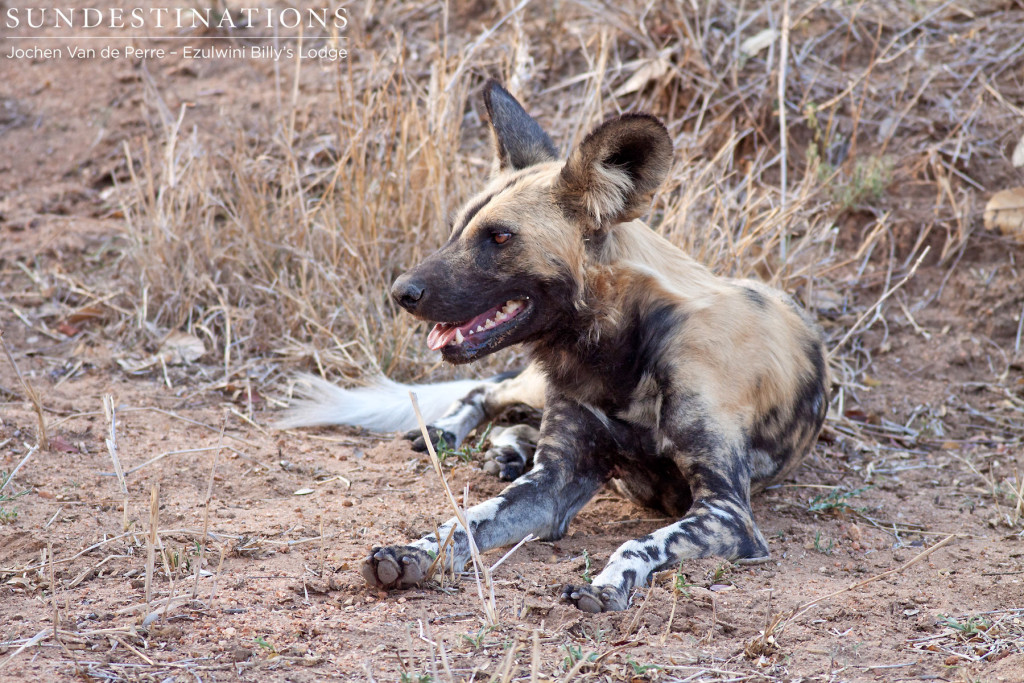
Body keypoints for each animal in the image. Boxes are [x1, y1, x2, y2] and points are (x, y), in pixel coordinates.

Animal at [284, 81, 827, 614]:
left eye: (499, 237)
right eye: (457, 230)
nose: (401, 291)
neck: (620, 355)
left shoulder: (727, 511)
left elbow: (641, 542)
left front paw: (608, 585)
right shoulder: (553, 483)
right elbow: (466, 520)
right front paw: (413, 552)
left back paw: (508, 450)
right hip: (533, 388)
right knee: (486, 391)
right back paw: (454, 434)